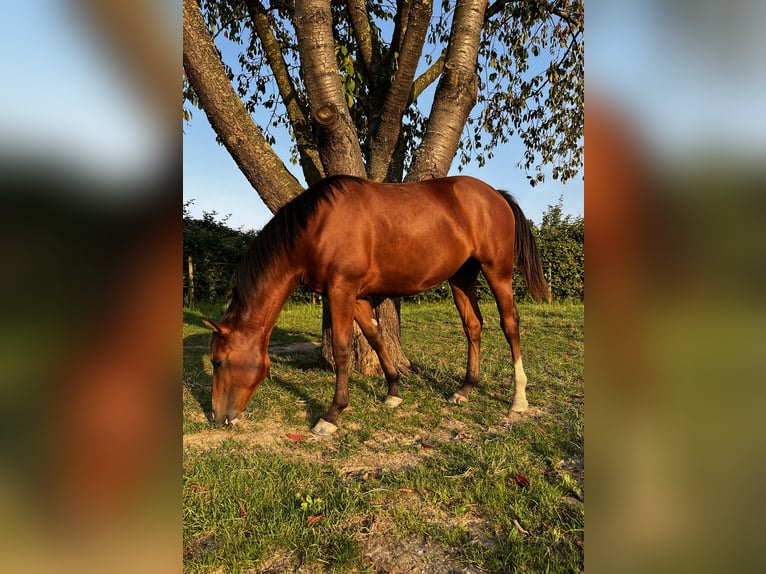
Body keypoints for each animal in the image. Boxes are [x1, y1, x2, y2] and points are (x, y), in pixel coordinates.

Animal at [202, 176, 552, 436]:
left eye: (218, 362)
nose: (218, 417)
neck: (318, 227)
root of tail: (495, 194)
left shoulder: (341, 291)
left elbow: (343, 348)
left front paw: (331, 415)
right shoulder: (355, 295)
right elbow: (375, 338)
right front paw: (393, 392)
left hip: (498, 272)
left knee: (510, 324)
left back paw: (518, 399)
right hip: (461, 277)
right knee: (473, 326)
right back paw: (464, 390)